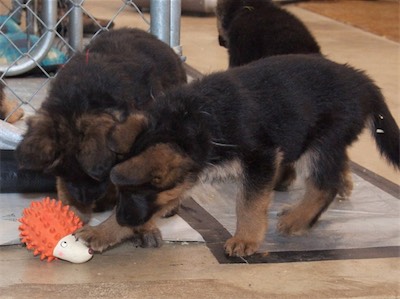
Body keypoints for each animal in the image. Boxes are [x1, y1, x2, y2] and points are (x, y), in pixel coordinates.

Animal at [14, 28, 186, 250]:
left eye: (96, 176)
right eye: (64, 174)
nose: (86, 201)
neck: (84, 98)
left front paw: (124, 230)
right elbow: (64, 190)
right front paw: (72, 214)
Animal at [73, 55, 398, 256]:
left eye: (146, 189)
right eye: (121, 192)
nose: (124, 219)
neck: (195, 117)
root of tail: (362, 81)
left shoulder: (261, 157)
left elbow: (249, 203)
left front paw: (246, 238)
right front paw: (104, 232)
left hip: (320, 143)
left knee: (323, 185)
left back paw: (298, 219)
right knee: (337, 171)